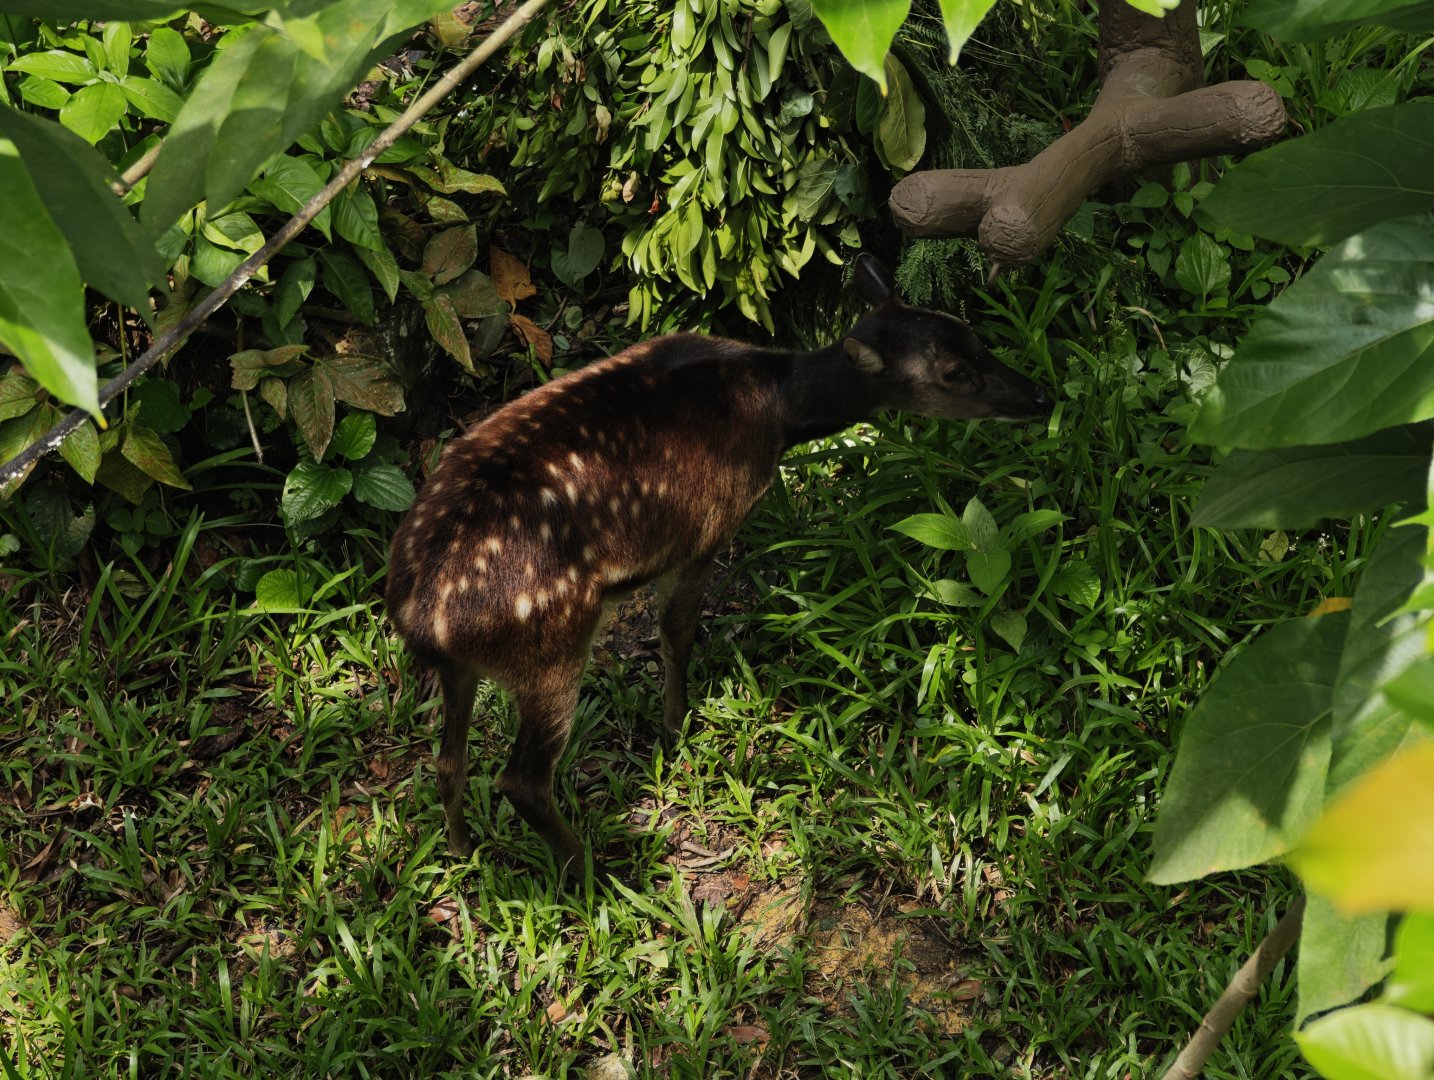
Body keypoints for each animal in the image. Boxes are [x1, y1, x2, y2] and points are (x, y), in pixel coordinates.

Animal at [386, 254, 1051, 880]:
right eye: (954, 372)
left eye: (972, 334)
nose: (1040, 395)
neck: (777, 408)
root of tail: (418, 618)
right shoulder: (705, 530)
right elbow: (677, 632)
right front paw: (675, 728)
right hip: (550, 644)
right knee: (520, 780)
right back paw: (594, 871)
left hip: (466, 667)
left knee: (447, 760)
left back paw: (461, 849)